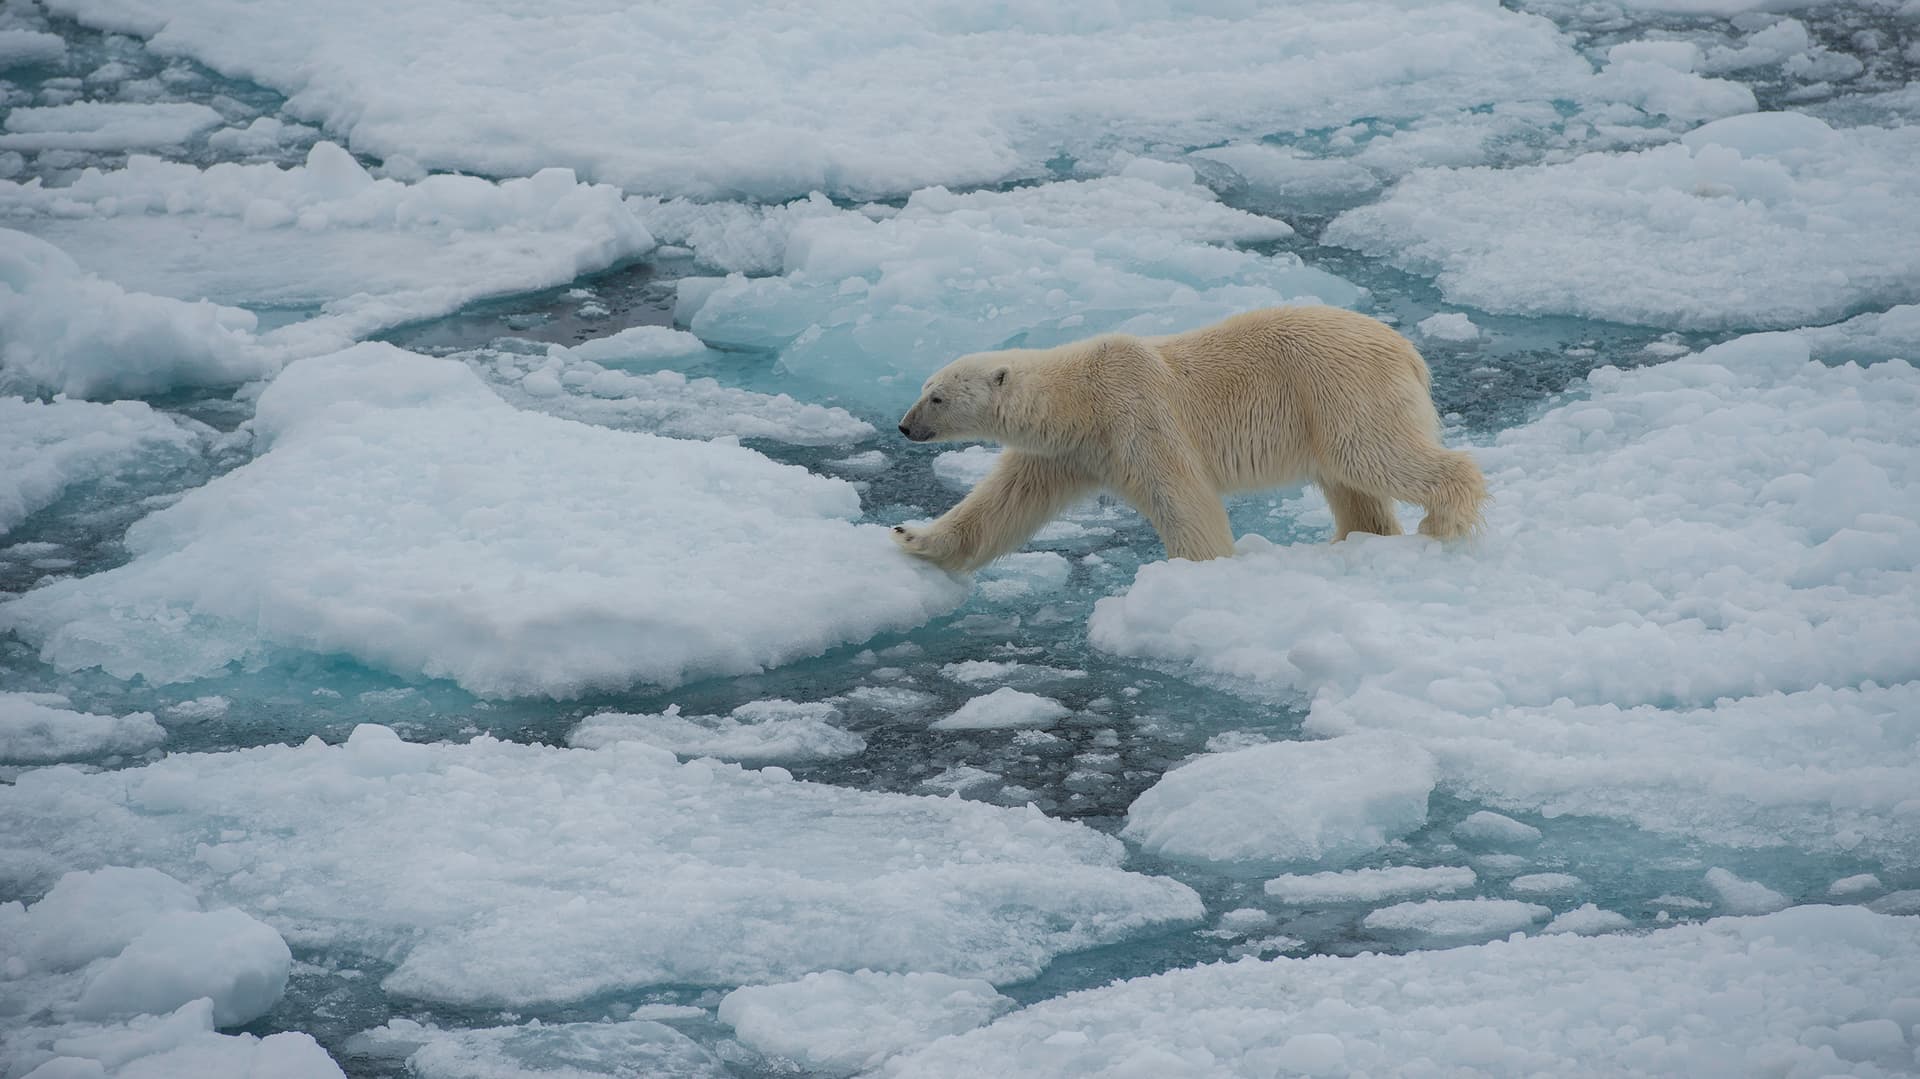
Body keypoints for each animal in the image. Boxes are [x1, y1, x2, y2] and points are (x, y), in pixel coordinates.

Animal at [891, 305, 1486, 573]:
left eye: (936, 397)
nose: (904, 426)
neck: (1080, 396)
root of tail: (1407, 350)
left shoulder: (1136, 416)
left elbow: (1182, 498)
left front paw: (1197, 572)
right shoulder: (1067, 451)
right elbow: (1003, 504)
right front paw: (912, 535)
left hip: (1339, 387)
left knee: (1371, 455)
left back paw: (1443, 520)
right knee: (1350, 483)